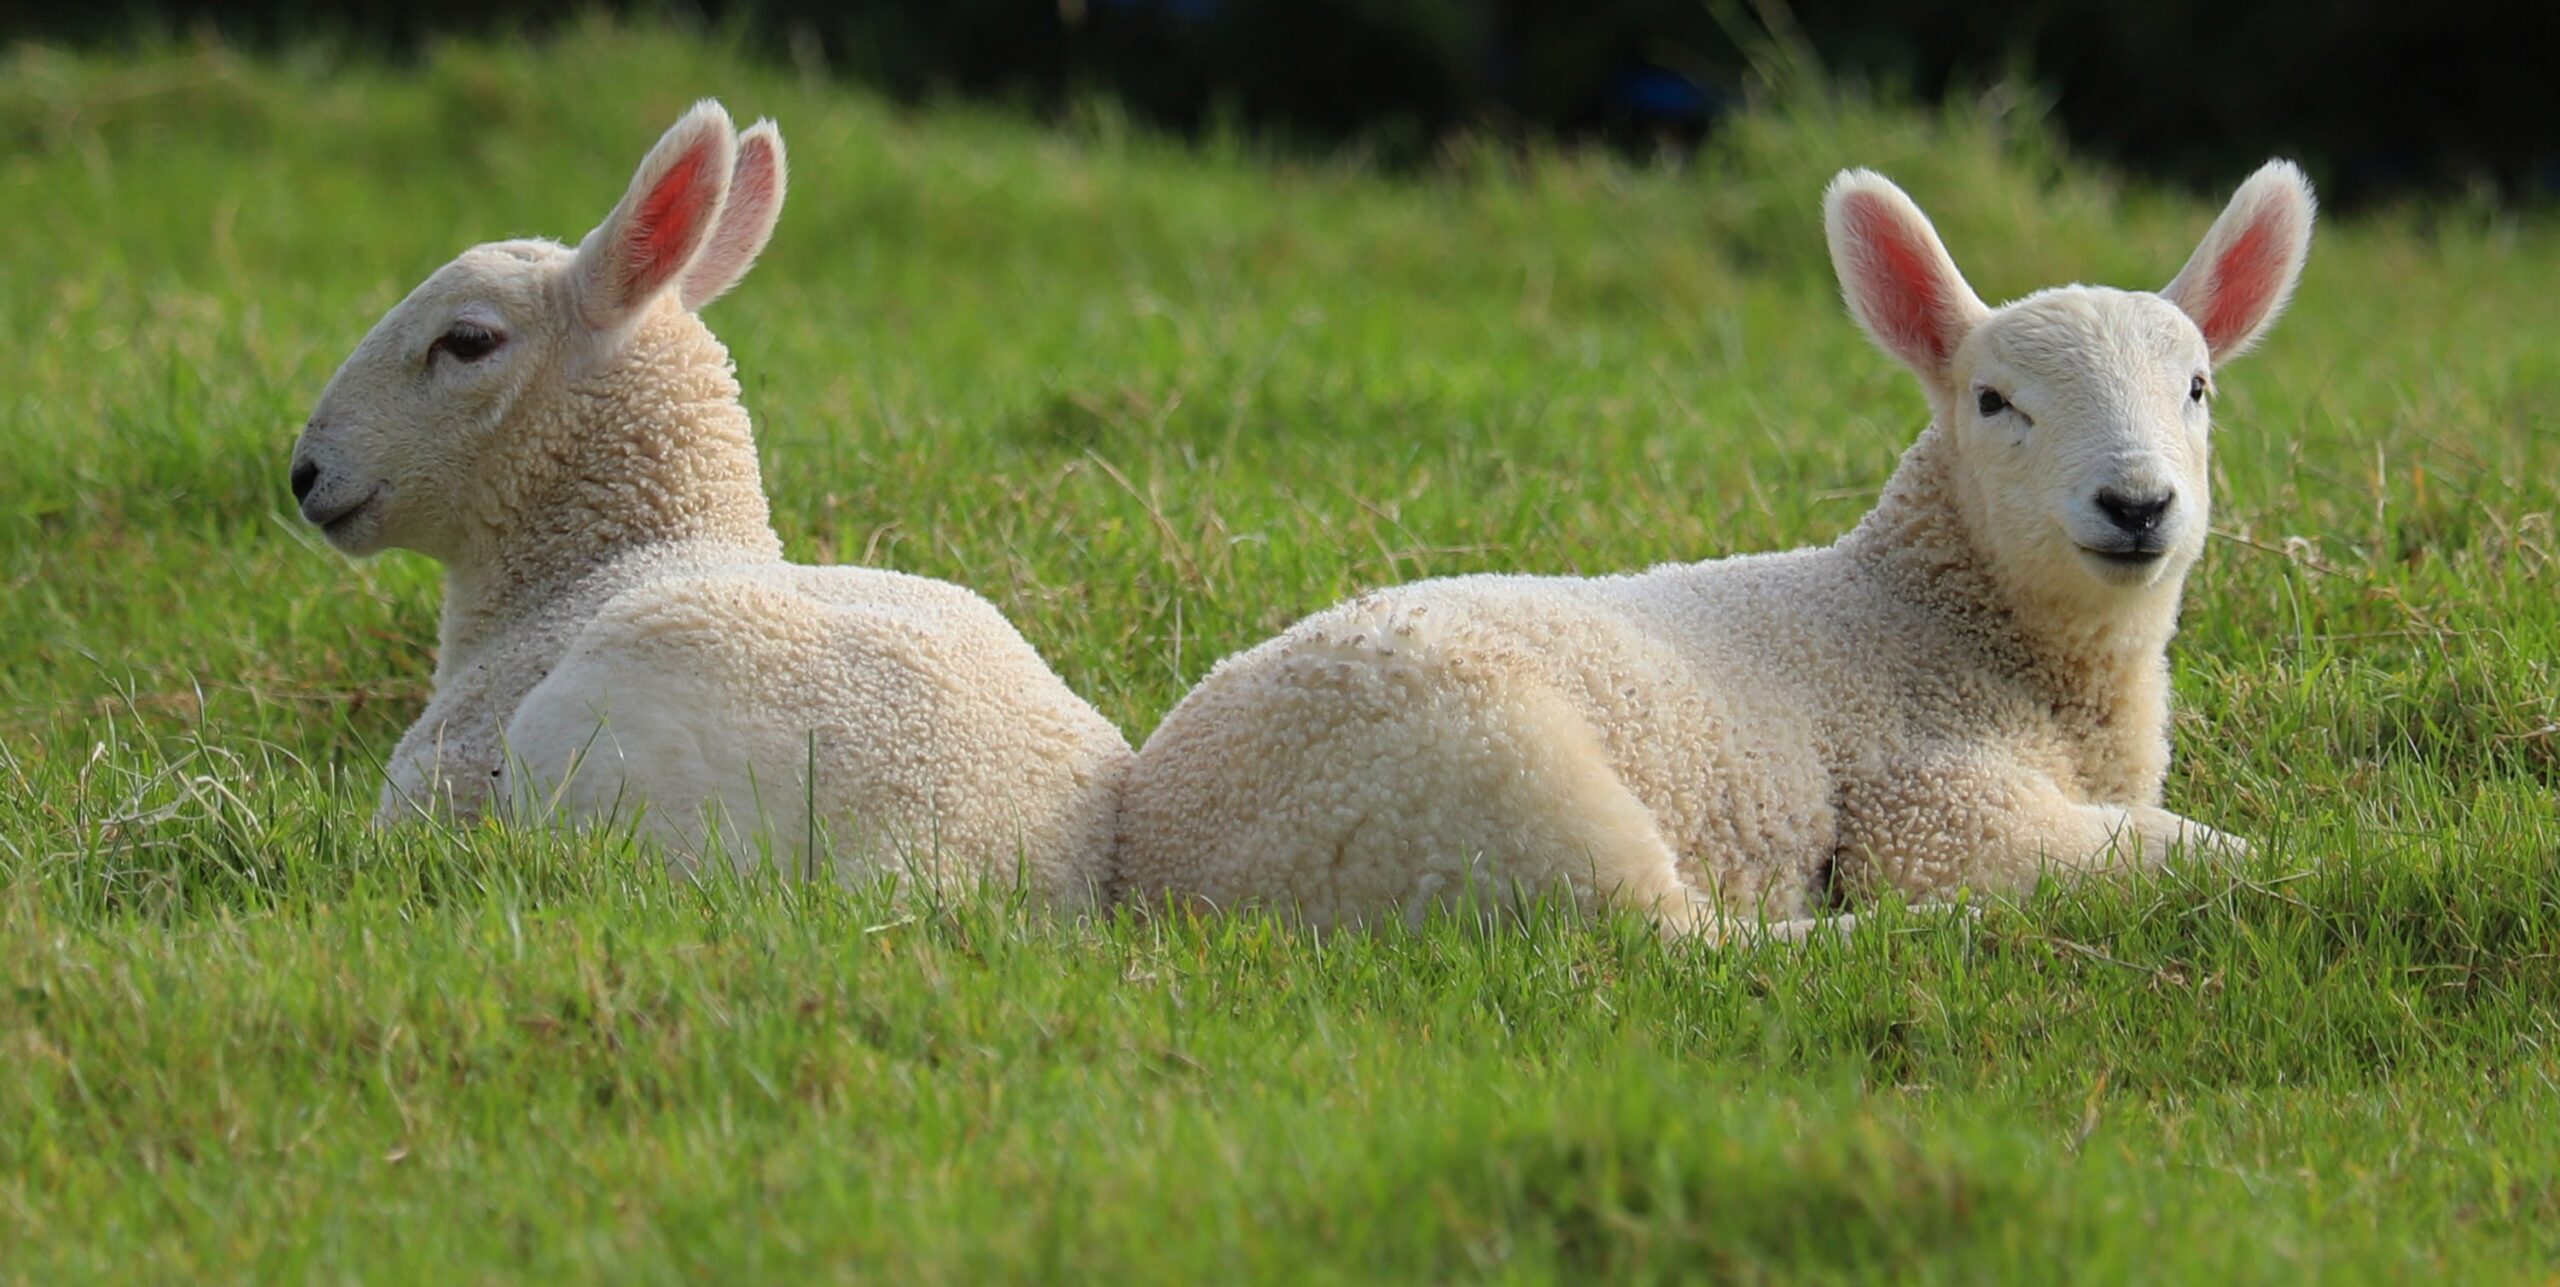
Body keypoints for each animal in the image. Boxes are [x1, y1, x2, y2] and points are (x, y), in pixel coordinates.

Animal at [1114, 161, 2315, 940]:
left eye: (2197, 389)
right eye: (1993, 401)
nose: (2137, 503)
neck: (1932, 617)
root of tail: (1160, 856)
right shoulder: (1930, 806)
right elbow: (2182, 854)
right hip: (1500, 789)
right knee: (1671, 946)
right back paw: (1893, 938)